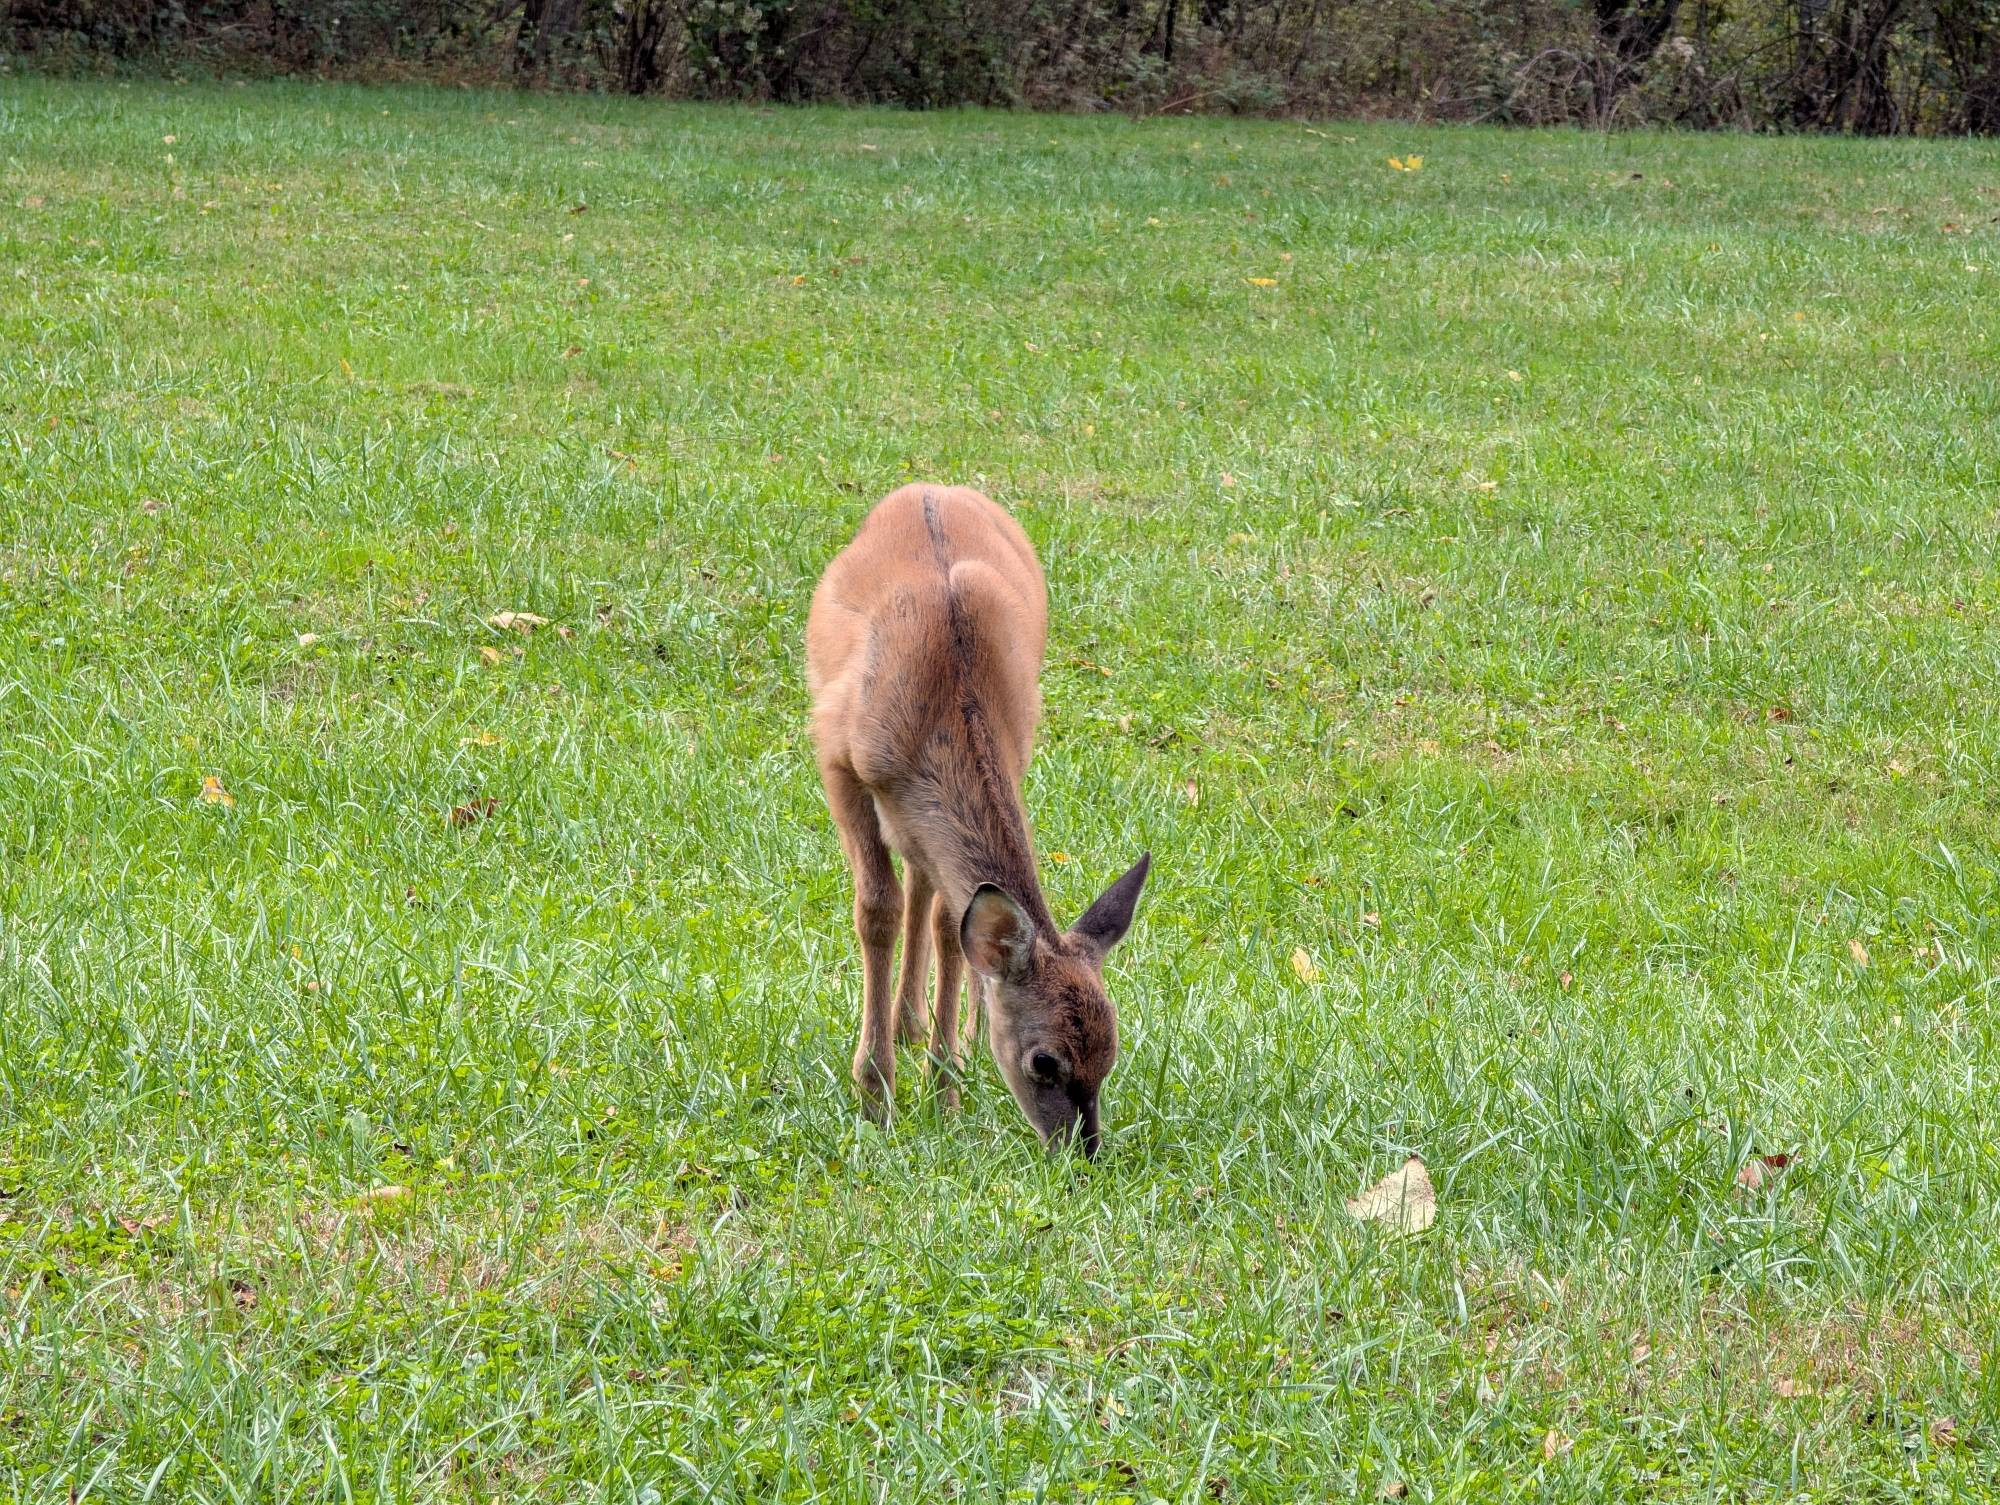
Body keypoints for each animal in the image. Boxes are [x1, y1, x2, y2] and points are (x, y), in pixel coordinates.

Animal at [804, 488, 1152, 1160]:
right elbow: (877, 908)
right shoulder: (838, 756)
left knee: (931, 890)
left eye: (1111, 1057)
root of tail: (929, 488)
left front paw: (945, 1089)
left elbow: (948, 924)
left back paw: (925, 1029)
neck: (948, 698)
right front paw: (875, 1095)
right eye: (1044, 1062)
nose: (1083, 1153)